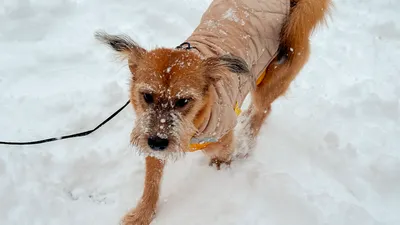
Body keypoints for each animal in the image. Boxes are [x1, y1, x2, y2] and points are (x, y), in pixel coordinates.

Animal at [95, 0, 330, 224]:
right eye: (147, 96)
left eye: (183, 101)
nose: (157, 142)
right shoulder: (150, 136)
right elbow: (151, 181)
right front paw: (143, 213)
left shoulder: (220, 137)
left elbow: (220, 153)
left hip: (274, 75)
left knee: (263, 110)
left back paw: (246, 141)